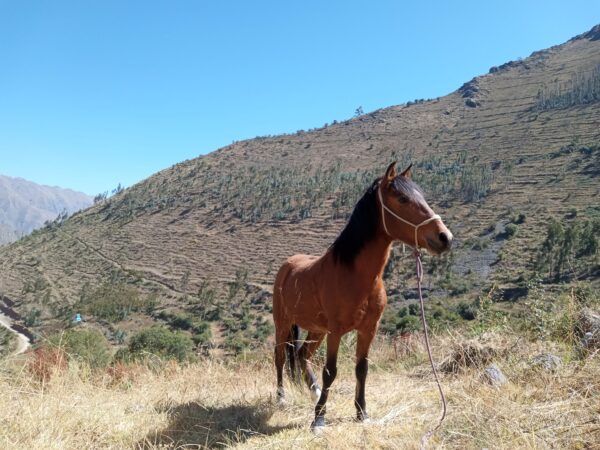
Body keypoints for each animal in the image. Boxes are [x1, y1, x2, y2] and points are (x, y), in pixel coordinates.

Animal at [270, 161, 450, 428]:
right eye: (402, 199)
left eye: (423, 196)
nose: (444, 237)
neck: (356, 276)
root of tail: (287, 266)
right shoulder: (336, 331)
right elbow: (331, 371)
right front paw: (319, 418)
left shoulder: (368, 329)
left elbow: (361, 369)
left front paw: (361, 412)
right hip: (283, 324)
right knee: (280, 357)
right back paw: (281, 398)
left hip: (316, 330)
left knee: (302, 355)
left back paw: (313, 391)